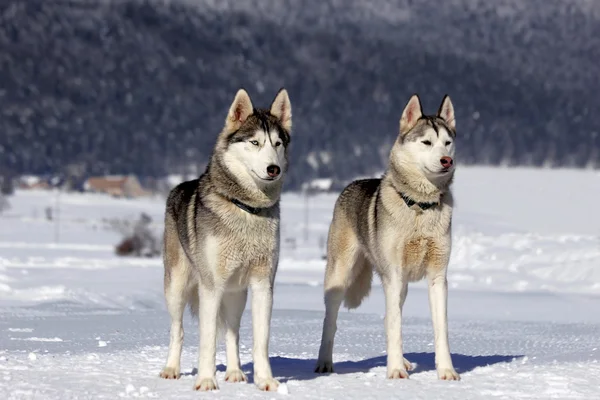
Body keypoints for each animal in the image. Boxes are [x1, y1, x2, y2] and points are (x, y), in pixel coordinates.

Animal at [158, 87, 292, 390]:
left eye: (278, 143)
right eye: (255, 142)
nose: (273, 169)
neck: (246, 208)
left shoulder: (263, 284)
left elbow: (260, 340)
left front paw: (266, 381)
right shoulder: (211, 287)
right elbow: (207, 341)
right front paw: (206, 381)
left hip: (236, 295)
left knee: (232, 332)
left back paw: (234, 372)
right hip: (177, 288)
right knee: (177, 330)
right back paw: (171, 369)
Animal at [314, 94, 460, 382]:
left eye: (447, 143)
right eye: (427, 142)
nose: (446, 161)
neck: (419, 207)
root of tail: (351, 185)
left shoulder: (438, 276)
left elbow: (441, 328)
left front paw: (446, 371)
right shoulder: (394, 274)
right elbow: (395, 325)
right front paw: (394, 371)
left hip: (400, 286)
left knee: (387, 317)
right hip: (341, 276)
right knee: (331, 322)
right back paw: (325, 363)